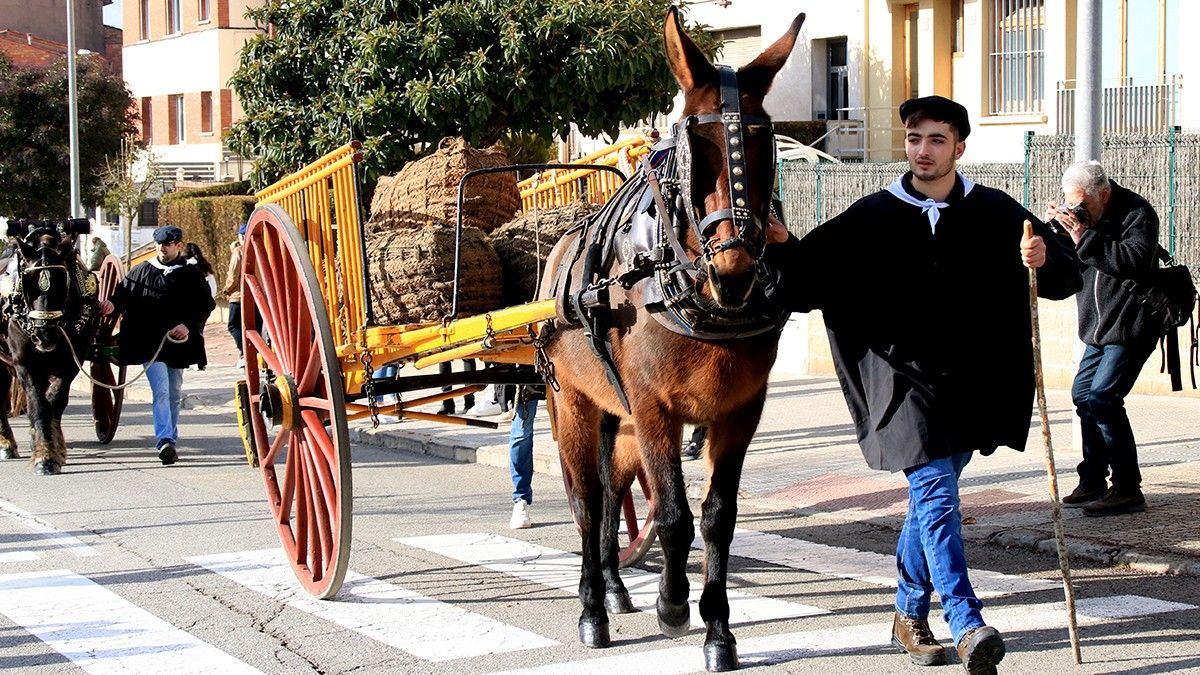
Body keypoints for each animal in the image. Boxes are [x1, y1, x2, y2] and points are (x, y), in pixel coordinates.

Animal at [0, 222, 98, 473]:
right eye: (28, 283)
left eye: (62, 282)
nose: (44, 335)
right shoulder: (25, 364)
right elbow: (39, 404)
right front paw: (44, 456)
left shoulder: (70, 362)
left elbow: (55, 402)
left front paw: (54, 449)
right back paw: (7, 443)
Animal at [542, 7, 806, 667]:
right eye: (693, 150)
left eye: (763, 147)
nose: (734, 271)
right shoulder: (653, 408)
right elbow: (673, 516)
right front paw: (672, 605)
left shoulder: (739, 411)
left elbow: (715, 518)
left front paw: (719, 631)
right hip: (575, 402)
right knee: (588, 503)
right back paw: (592, 607)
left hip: (618, 418)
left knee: (614, 495)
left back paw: (615, 588)